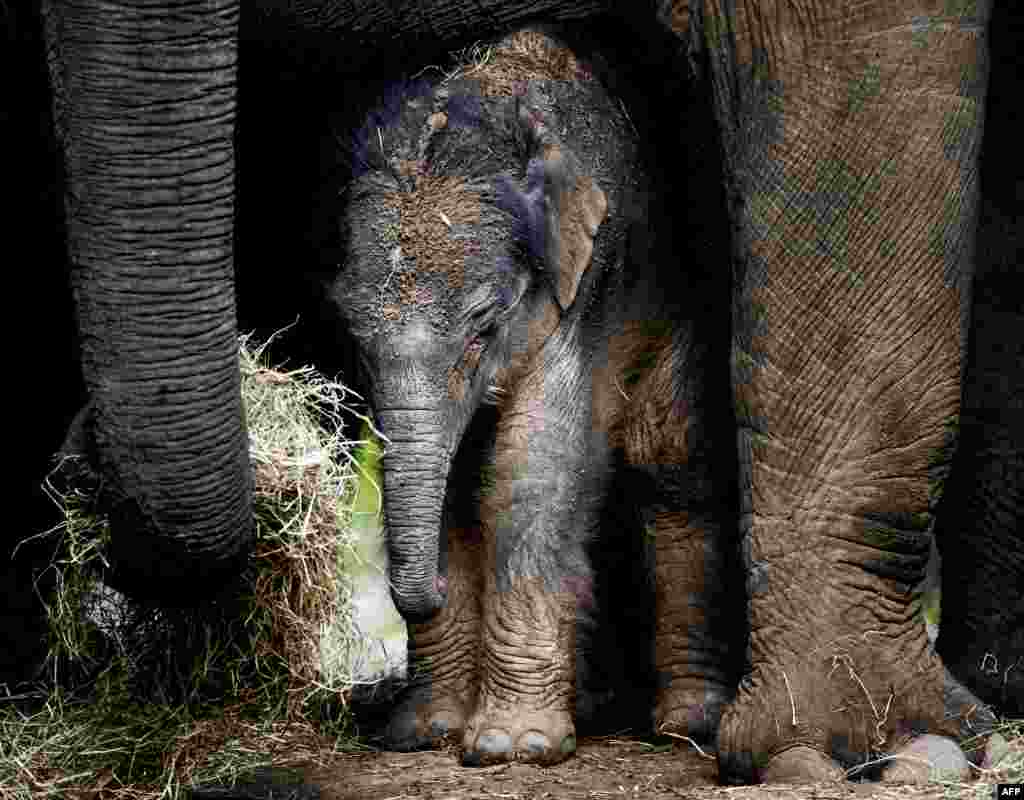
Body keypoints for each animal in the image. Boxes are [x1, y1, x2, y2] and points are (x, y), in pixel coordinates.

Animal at [329, 23, 737, 762]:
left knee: (667, 458)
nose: (428, 586)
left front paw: (511, 746)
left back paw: (688, 724)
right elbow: (456, 484)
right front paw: (425, 733)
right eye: (348, 326)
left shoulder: (593, 277)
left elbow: (532, 465)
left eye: (484, 325)